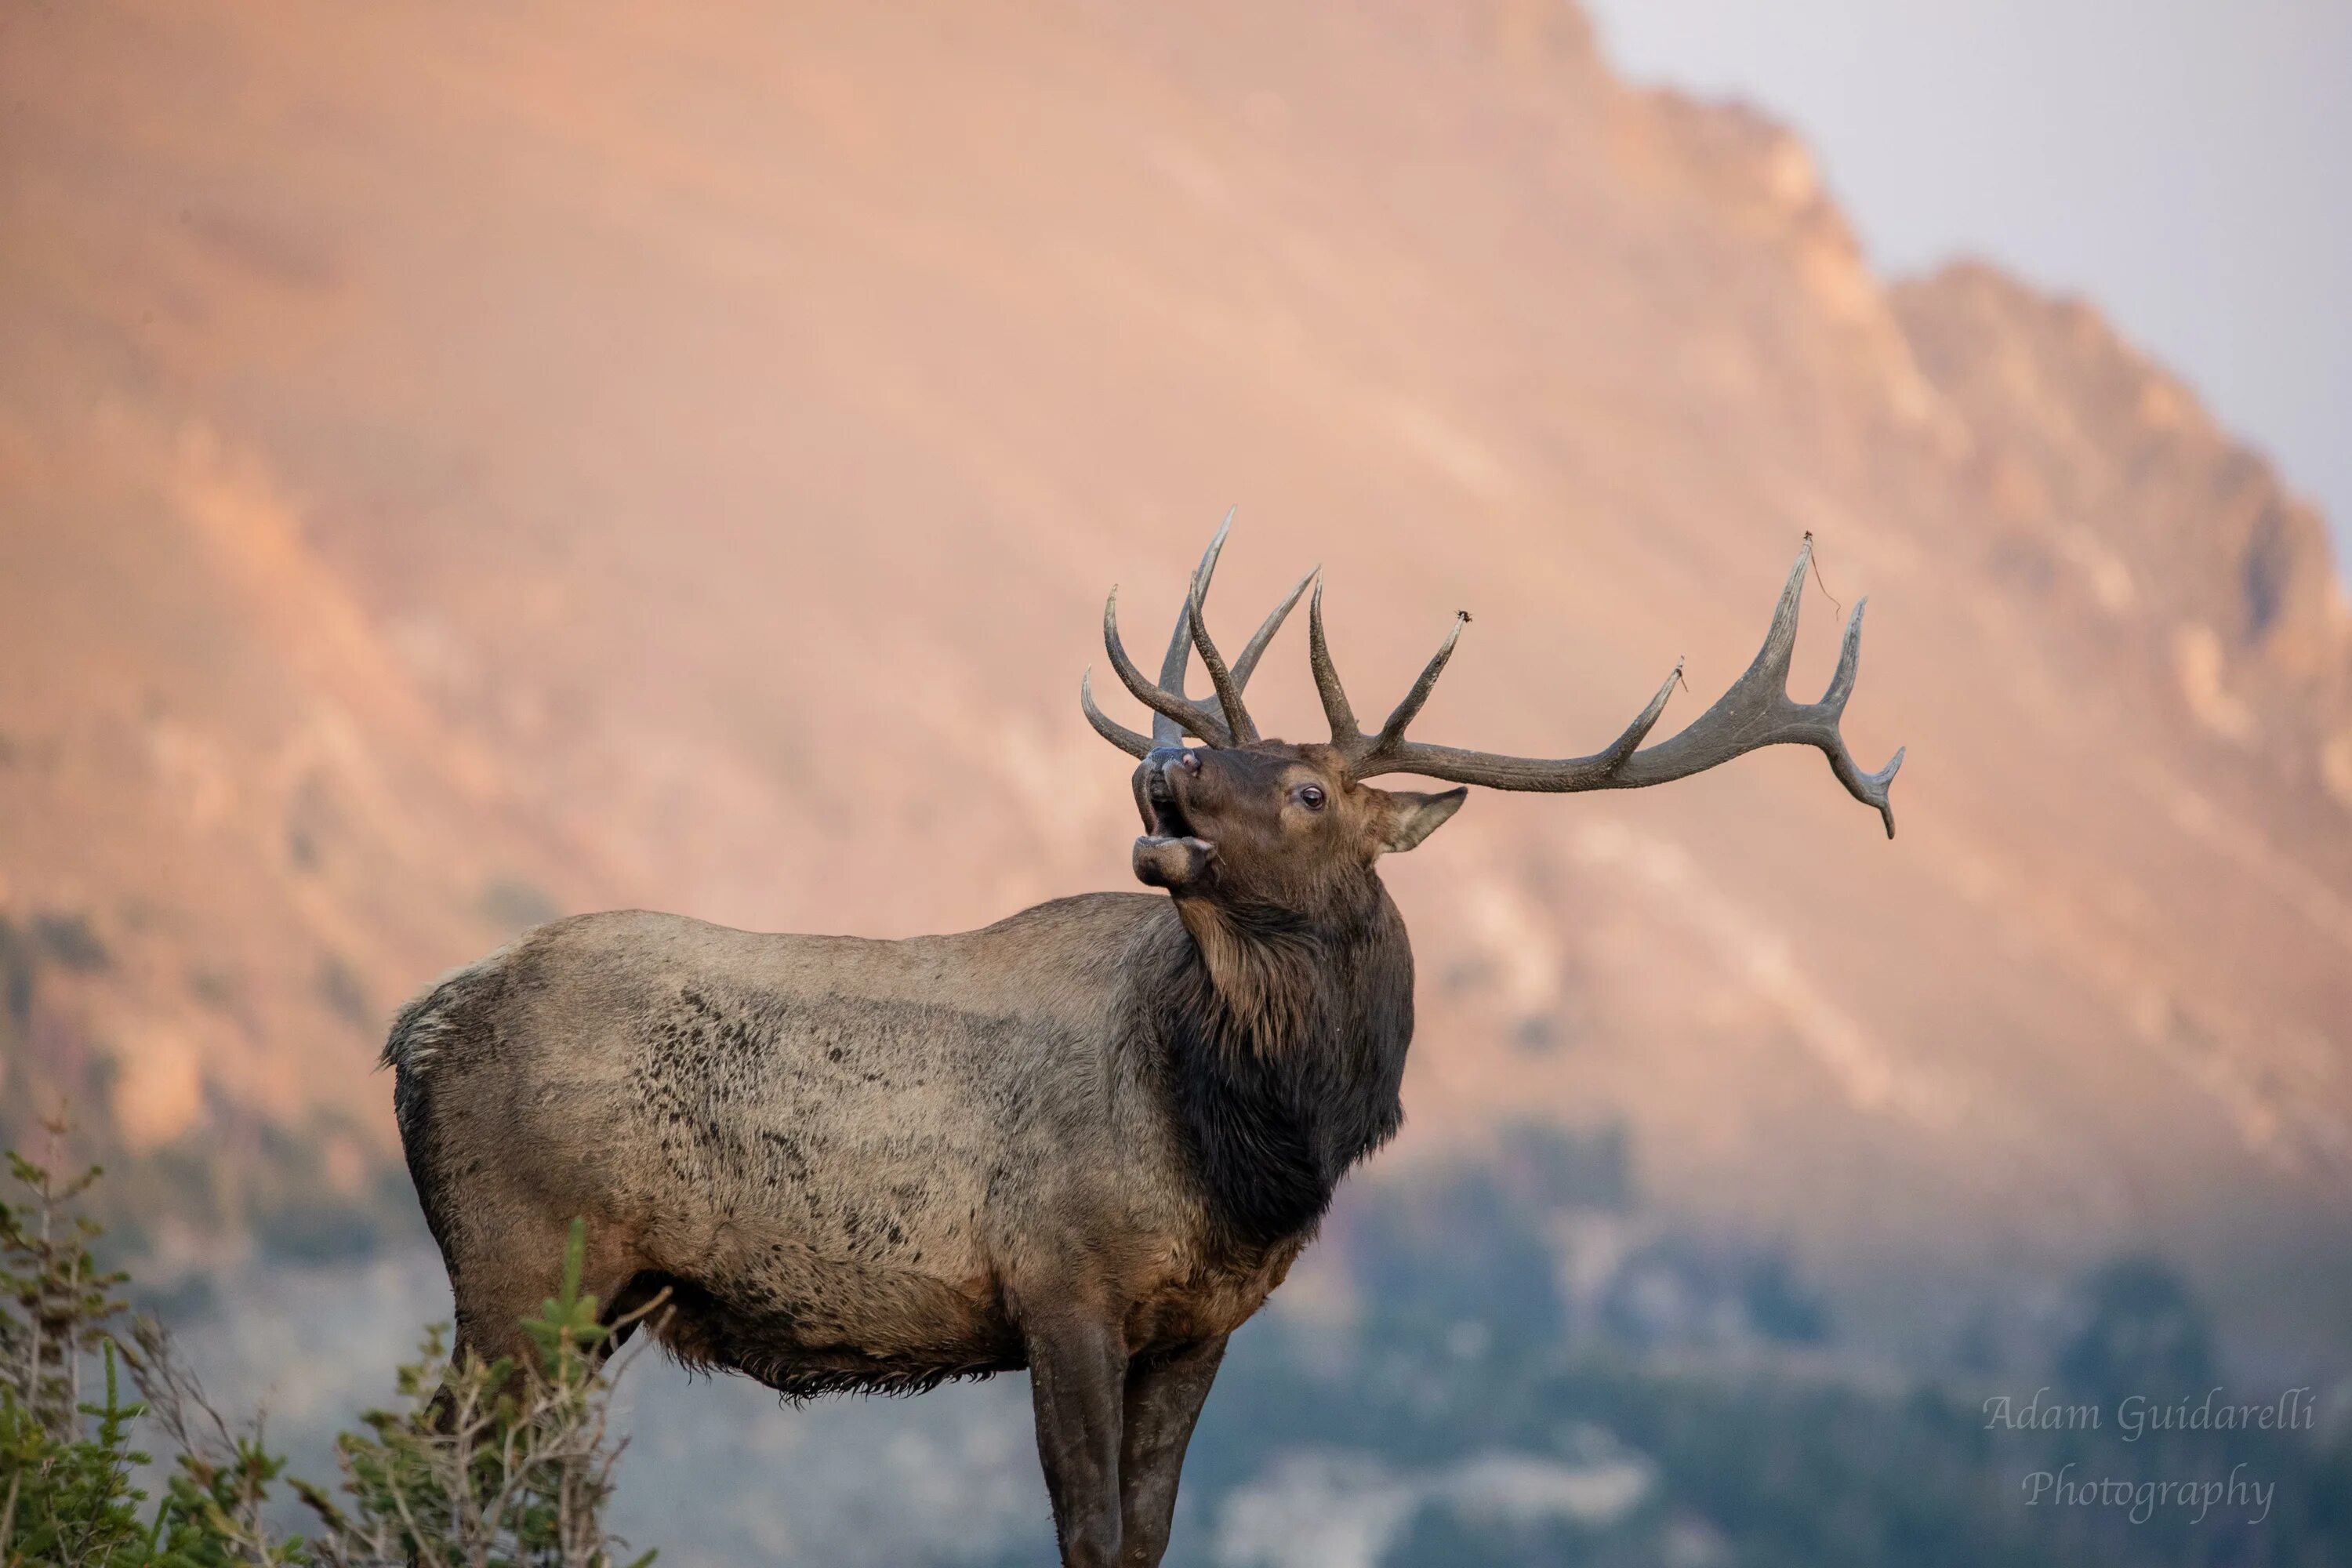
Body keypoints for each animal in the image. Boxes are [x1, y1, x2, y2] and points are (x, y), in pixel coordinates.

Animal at [381, 521, 1891, 1561]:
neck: (1245, 1148)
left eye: (1306, 786)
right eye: (1237, 760)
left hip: (592, 1301)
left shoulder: (1203, 1325)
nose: (1164, 765)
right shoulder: (1061, 1284)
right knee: (430, 1466)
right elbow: (1092, 1534)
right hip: (517, 1265)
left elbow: (1151, 1537)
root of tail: (417, 1026)